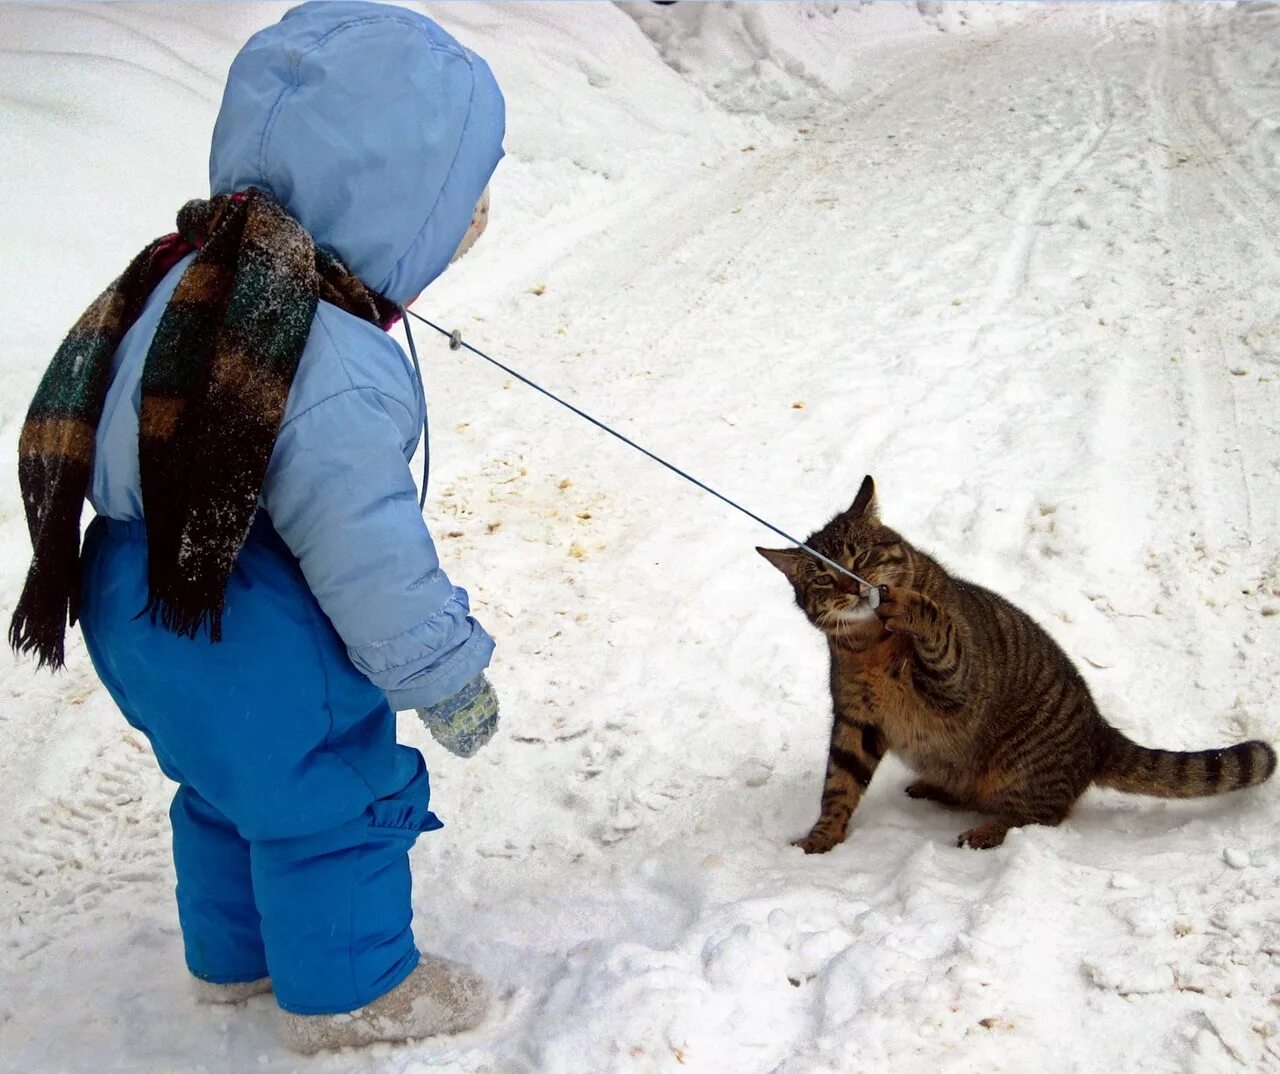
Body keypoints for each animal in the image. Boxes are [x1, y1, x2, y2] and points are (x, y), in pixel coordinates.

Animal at [757, 473, 1269, 855]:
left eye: (860, 555)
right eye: (824, 578)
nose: (855, 586)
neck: (871, 645)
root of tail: (1100, 733)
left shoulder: (956, 680)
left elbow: (937, 626)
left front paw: (909, 604)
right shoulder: (856, 720)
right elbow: (839, 784)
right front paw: (820, 838)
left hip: (1021, 762)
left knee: (1041, 815)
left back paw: (985, 831)